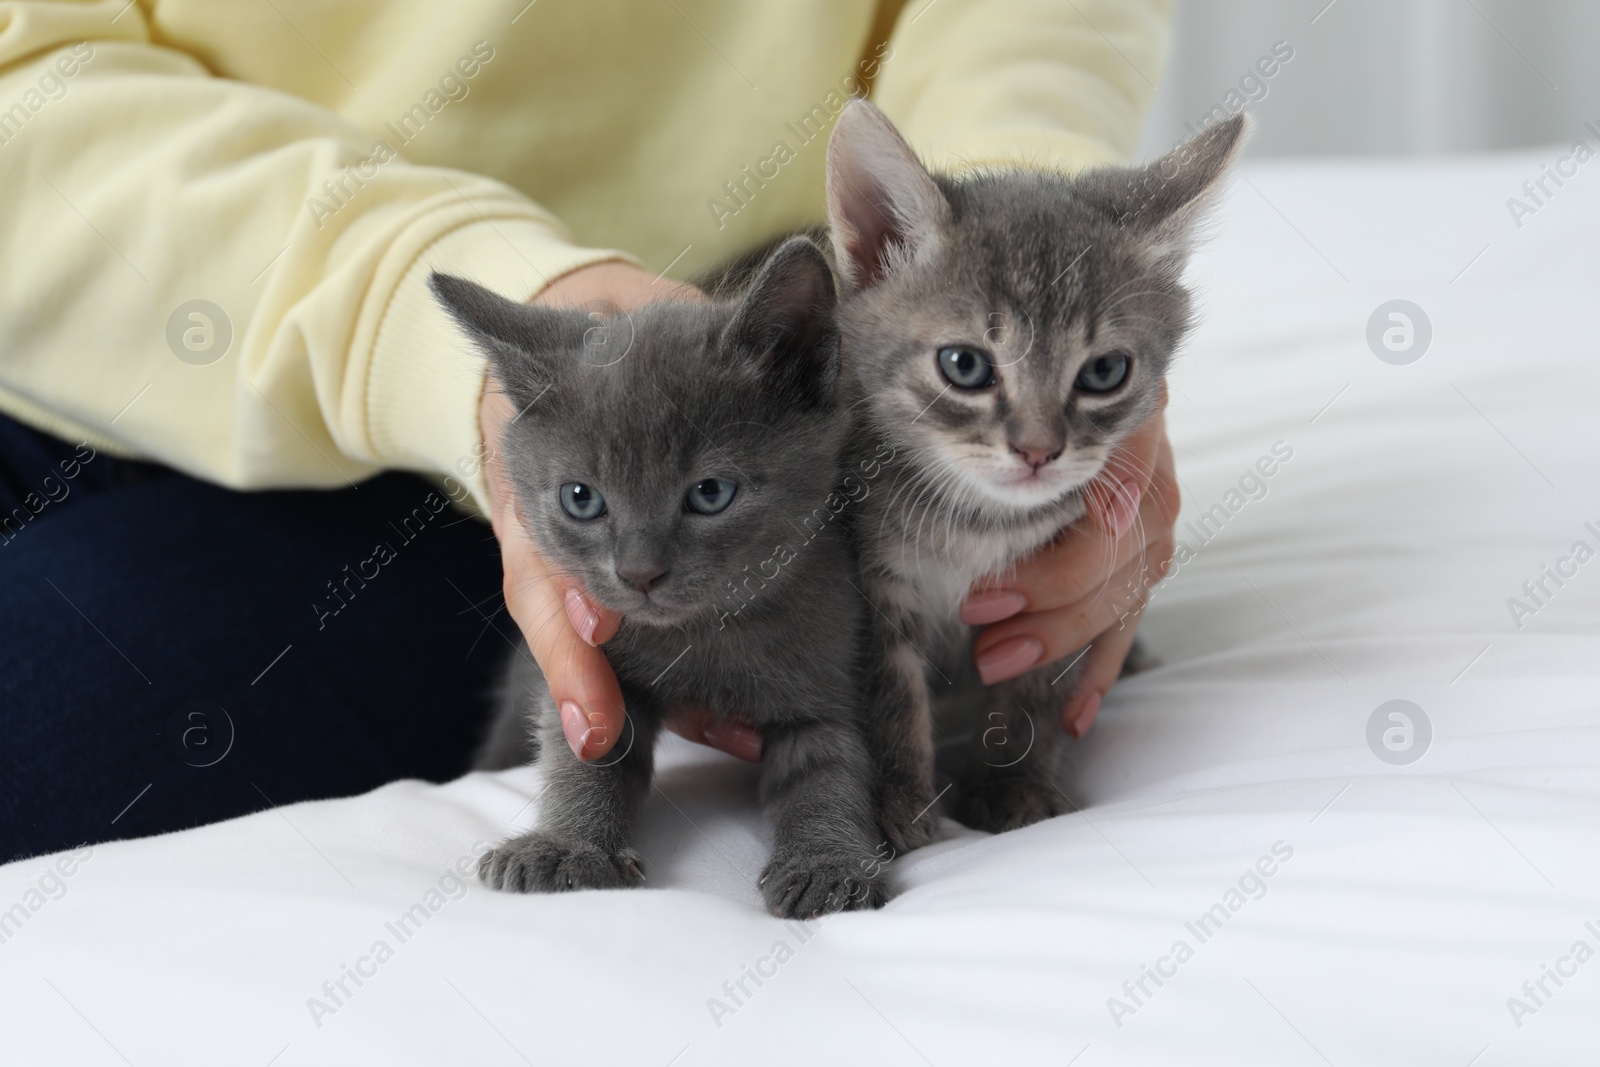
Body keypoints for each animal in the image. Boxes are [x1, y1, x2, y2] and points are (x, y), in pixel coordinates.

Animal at [432, 239, 889, 921]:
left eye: (710, 493)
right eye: (581, 499)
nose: (639, 572)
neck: (703, 634)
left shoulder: (831, 662)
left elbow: (828, 773)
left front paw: (827, 863)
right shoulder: (588, 664)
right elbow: (585, 753)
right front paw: (567, 845)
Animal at [825, 102, 1248, 851]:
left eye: (1105, 371)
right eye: (965, 365)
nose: (1039, 450)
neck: (979, 520)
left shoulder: (1064, 589)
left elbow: (1035, 688)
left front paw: (1009, 781)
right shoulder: (872, 585)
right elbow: (886, 689)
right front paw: (891, 799)